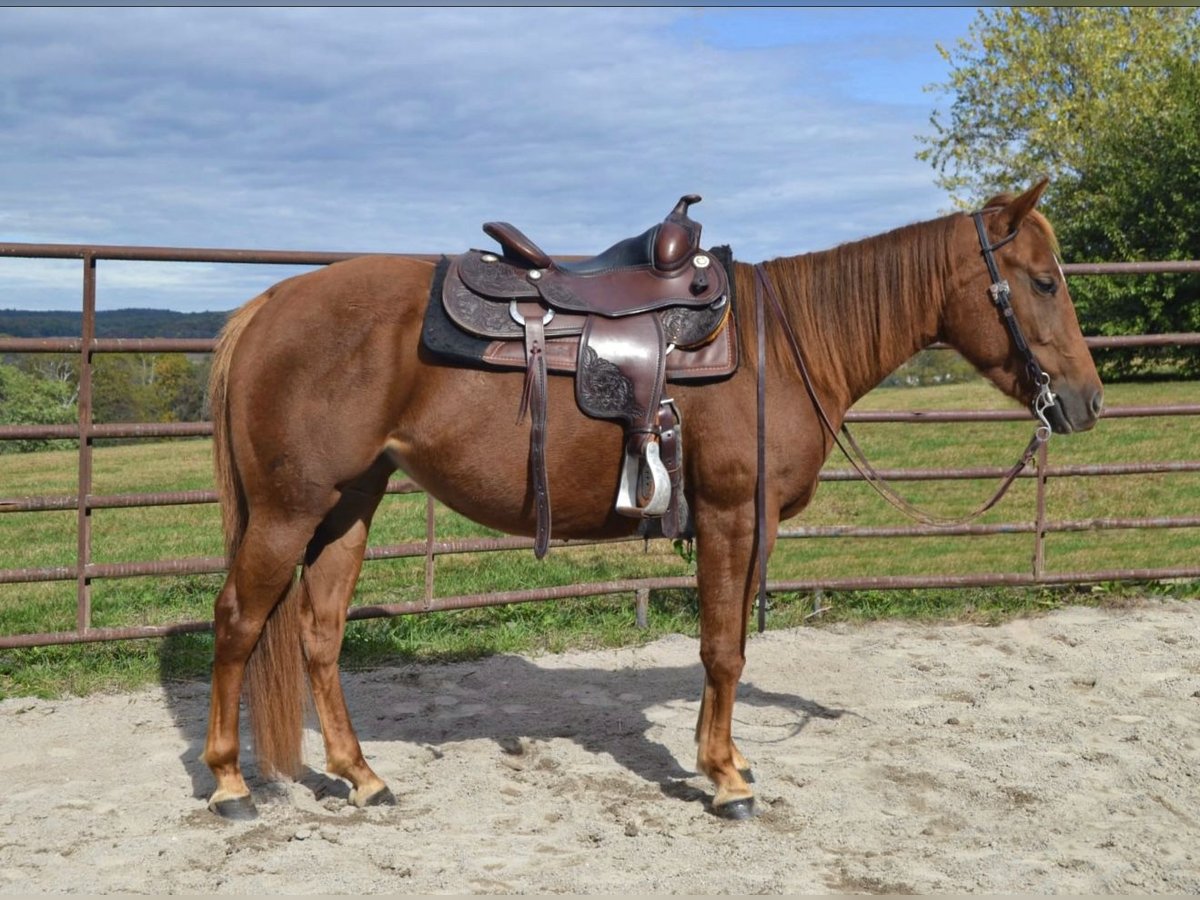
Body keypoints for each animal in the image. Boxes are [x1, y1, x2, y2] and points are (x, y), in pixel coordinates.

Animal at [201, 179, 1103, 821]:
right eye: (1043, 282)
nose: (1086, 402)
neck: (787, 347)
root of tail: (267, 304)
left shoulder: (740, 525)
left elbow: (723, 643)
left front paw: (723, 759)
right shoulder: (732, 516)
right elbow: (724, 649)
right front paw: (727, 783)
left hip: (348, 505)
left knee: (318, 635)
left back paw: (362, 777)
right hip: (287, 510)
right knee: (239, 622)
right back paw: (229, 786)